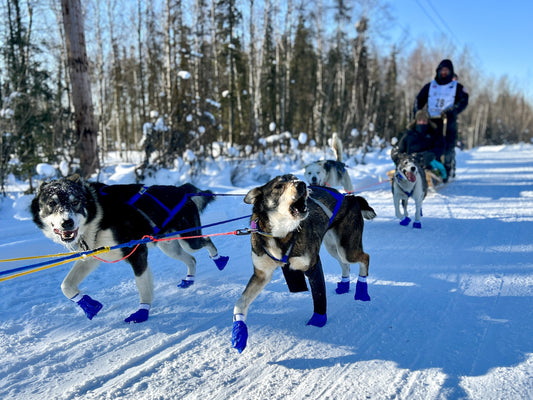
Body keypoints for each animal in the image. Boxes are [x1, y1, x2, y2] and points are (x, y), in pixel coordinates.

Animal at [30, 175, 227, 322]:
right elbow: (66, 286)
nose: (67, 222)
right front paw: (88, 305)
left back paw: (219, 260)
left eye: (76, 201)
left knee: (206, 242)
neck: (98, 217)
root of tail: (181, 189)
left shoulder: (137, 252)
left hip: (189, 240)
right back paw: (189, 280)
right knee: (191, 259)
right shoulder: (93, 257)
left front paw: (142, 312)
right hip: (170, 248)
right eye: (52, 203)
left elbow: (143, 286)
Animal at [230, 173, 374, 352]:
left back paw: (361, 291)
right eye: (278, 186)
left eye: (294, 177)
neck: (281, 234)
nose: (302, 184)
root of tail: (349, 197)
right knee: (345, 264)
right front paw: (239, 330)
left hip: (347, 249)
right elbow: (240, 302)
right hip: (334, 248)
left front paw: (318, 320)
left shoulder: (312, 266)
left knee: (364, 257)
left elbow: (319, 296)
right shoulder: (261, 274)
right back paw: (344, 285)